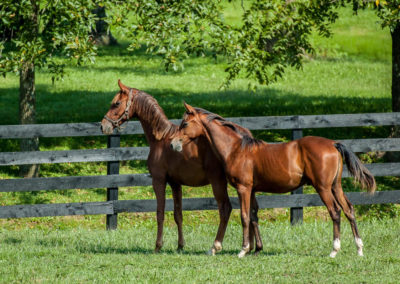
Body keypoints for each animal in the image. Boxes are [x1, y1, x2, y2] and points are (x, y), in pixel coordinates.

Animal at [101, 80, 262, 255]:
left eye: (116, 103)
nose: (103, 126)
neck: (161, 139)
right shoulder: (175, 183)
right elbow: (178, 214)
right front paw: (180, 245)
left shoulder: (159, 181)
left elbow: (160, 213)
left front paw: (158, 245)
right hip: (246, 186)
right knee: (252, 211)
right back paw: (254, 247)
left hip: (219, 182)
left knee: (226, 209)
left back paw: (218, 246)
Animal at [171, 103, 376, 258]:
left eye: (185, 123)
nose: (173, 144)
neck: (237, 149)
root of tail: (333, 144)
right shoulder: (252, 190)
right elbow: (253, 216)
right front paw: (255, 249)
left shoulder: (243, 188)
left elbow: (244, 216)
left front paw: (243, 250)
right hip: (336, 186)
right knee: (349, 210)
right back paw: (359, 249)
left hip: (323, 188)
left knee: (335, 212)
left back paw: (334, 250)